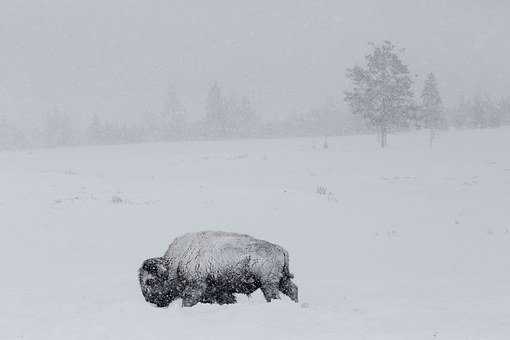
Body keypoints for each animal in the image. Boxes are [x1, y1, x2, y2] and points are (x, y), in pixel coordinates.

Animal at [139, 231, 298, 308]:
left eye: (149, 281)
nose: (148, 300)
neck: (176, 263)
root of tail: (280, 249)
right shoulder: (219, 290)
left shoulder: (196, 287)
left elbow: (188, 301)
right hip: (281, 281)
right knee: (293, 289)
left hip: (268, 284)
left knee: (275, 295)